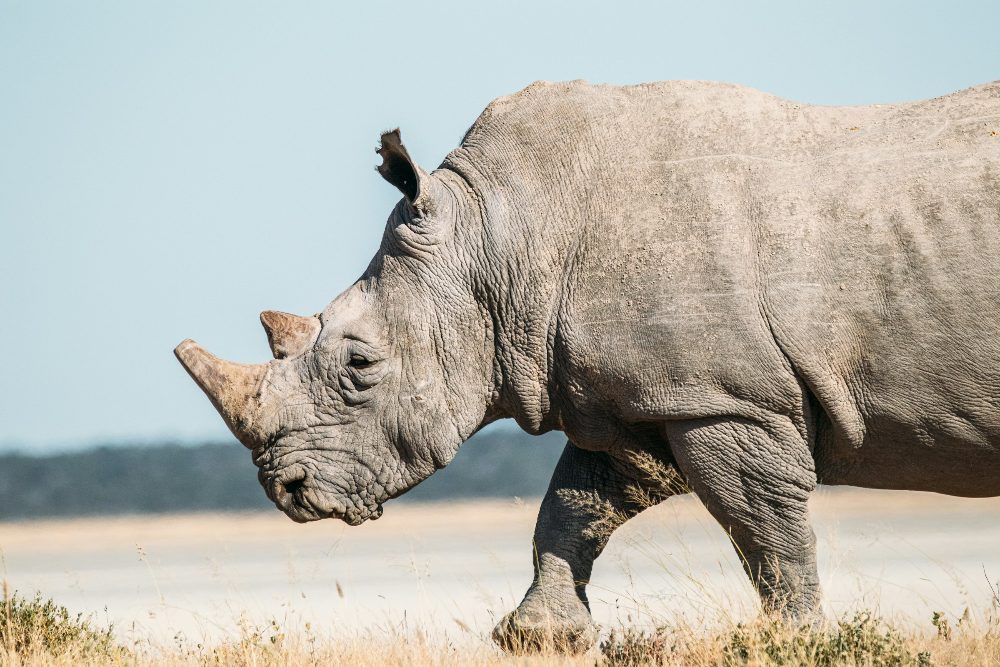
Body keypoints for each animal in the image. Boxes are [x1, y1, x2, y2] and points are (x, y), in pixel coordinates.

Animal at [176, 79, 1000, 651]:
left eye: (359, 362)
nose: (285, 489)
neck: (499, 238)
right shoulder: (645, 395)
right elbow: (576, 502)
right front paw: (537, 637)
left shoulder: (724, 397)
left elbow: (764, 527)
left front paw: (801, 640)